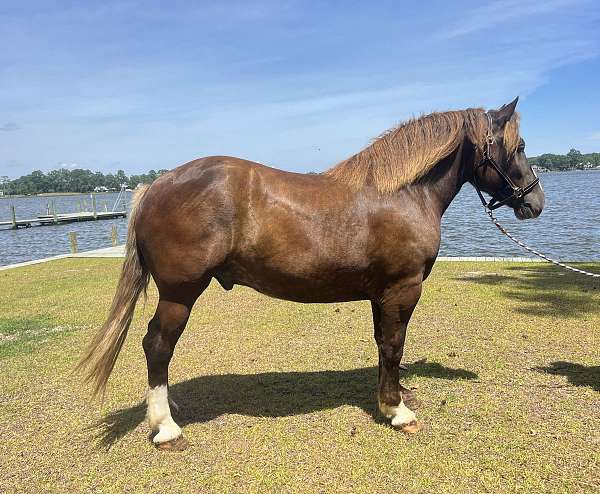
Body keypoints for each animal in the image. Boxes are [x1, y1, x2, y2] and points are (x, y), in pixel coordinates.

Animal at [76, 97, 544, 452]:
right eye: (519, 146)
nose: (535, 201)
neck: (403, 193)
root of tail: (155, 186)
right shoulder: (402, 290)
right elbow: (394, 346)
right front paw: (398, 412)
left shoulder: (380, 295)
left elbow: (383, 346)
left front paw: (391, 399)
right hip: (179, 293)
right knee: (157, 345)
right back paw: (166, 428)